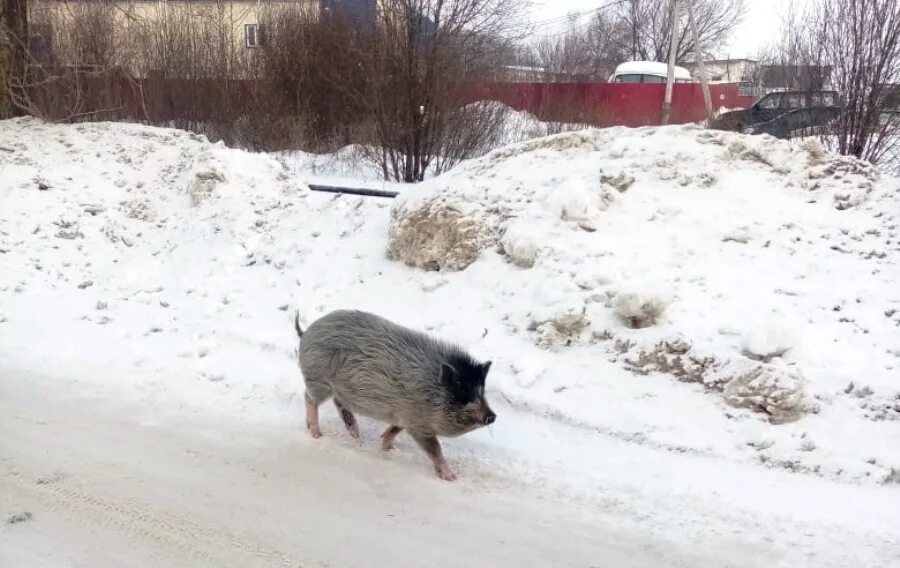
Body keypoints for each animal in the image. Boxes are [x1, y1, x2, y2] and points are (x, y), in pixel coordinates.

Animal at [296, 308, 496, 482]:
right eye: (463, 394)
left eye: (482, 392)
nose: (492, 416)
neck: (430, 390)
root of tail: (307, 332)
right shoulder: (418, 424)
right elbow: (434, 448)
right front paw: (452, 478)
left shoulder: (405, 416)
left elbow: (395, 429)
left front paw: (387, 448)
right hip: (319, 380)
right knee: (309, 398)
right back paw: (317, 434)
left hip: (338, 389)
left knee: (339, 403)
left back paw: (355, 434)